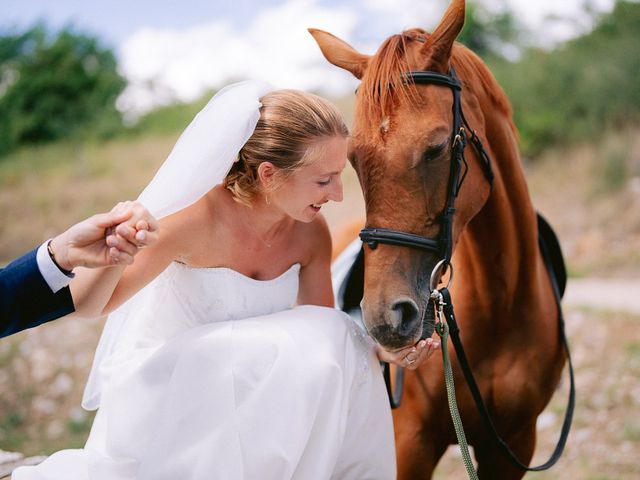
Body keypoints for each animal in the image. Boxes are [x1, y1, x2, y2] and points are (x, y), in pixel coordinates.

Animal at [310, 0, 568, 480]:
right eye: (353, 158)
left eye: (435, 148)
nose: (384, 320)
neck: (501, 304)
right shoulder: (409, 445)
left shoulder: (515, 445)